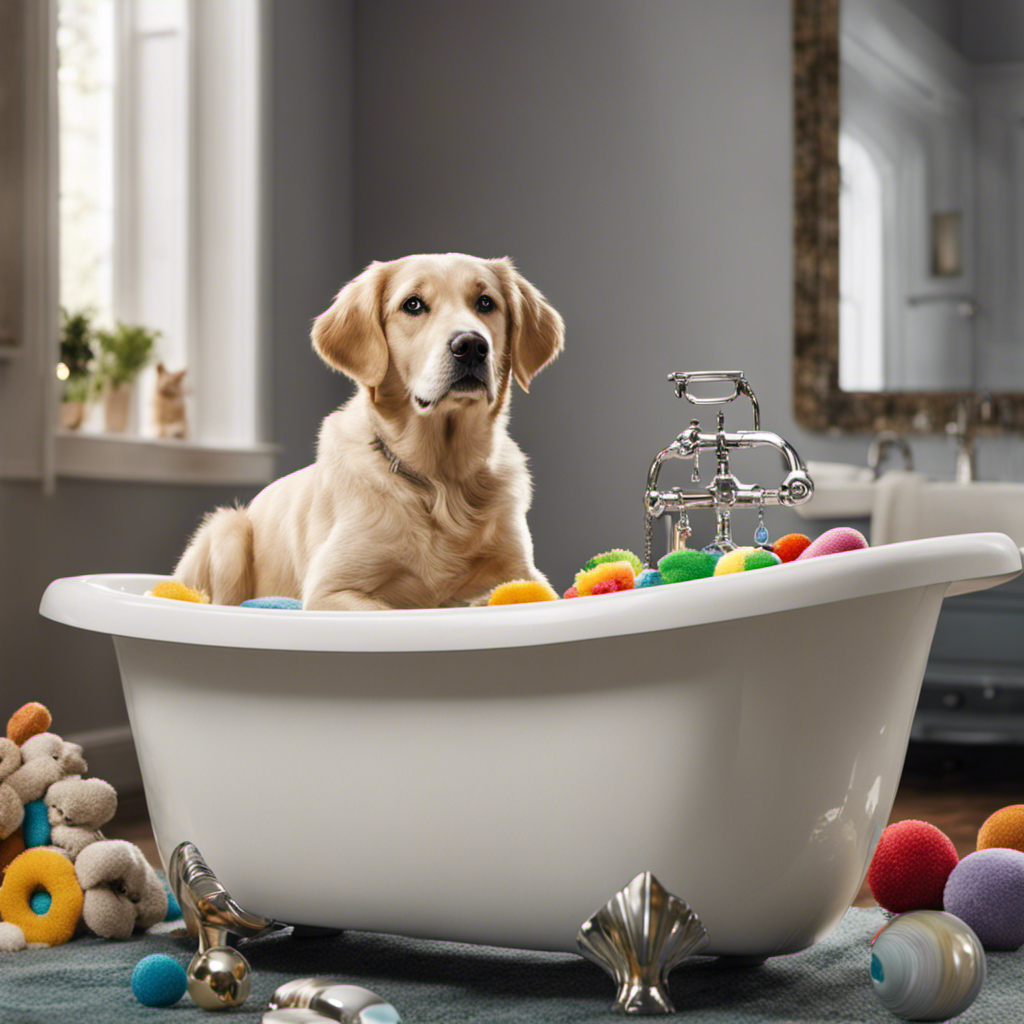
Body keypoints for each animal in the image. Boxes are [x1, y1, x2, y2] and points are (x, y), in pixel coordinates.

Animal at [173, 252, 565, 610]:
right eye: (413, 304)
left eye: (486, 303)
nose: (470, 345)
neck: (441, 484)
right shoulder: (329, 589)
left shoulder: (528, 576)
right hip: (228, 529)